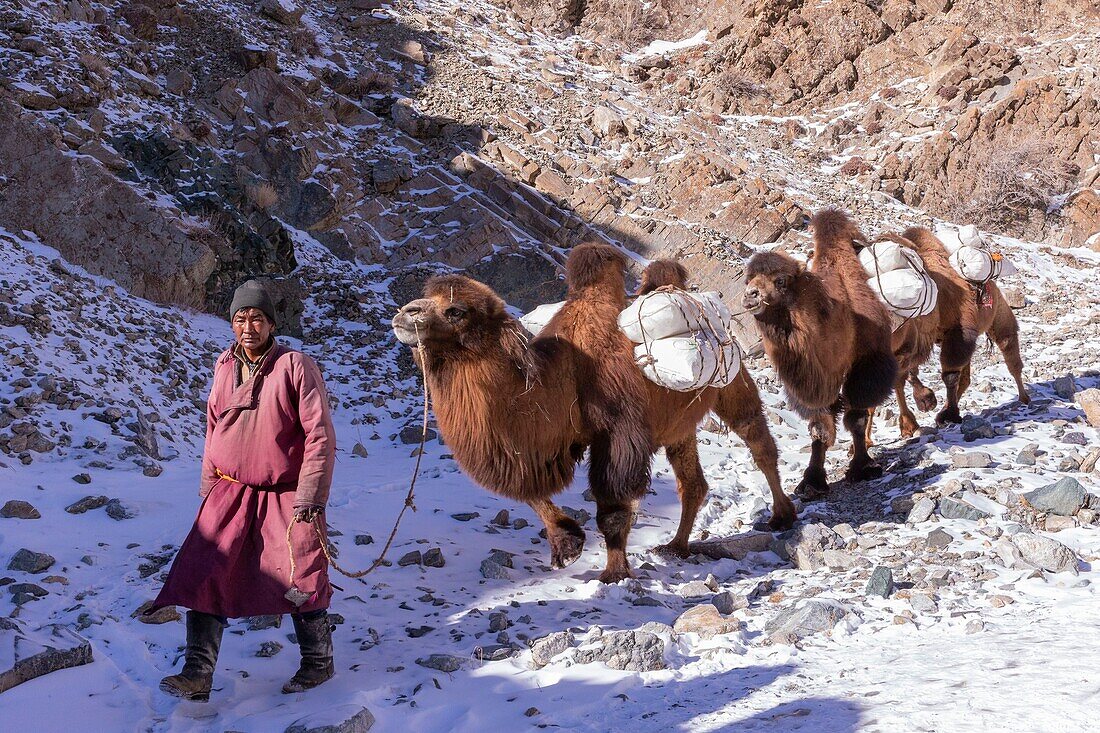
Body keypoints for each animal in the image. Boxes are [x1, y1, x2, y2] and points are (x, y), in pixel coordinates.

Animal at [391, 245, 796, 581]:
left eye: (455, 311)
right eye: (428, 299)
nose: (405, 314)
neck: (564, 376)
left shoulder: (618, 433)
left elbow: (613, 507)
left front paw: (614, 573)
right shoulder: (546, 444)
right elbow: (531, 491)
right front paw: (567, 545)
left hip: (731, 382)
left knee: (757, 438)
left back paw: (782, 514)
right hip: (678, 424)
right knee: (692, 480)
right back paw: (676, 546)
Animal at [743, 208, 897, 499]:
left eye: (780, 280)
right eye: (749, 279)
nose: (751, 295)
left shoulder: (864, 368)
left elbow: (856, 419)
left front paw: (863, 468)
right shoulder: (812, 385)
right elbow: (819, 429)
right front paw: (812, 482)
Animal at [897, 225, 1025, 420]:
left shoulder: (959, 331)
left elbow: (950, 375)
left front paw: (950, 414)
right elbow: (910, 370)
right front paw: (927, 401)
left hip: (998, 314)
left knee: (1008, 347)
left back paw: (1025, 398)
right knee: (966, 376)